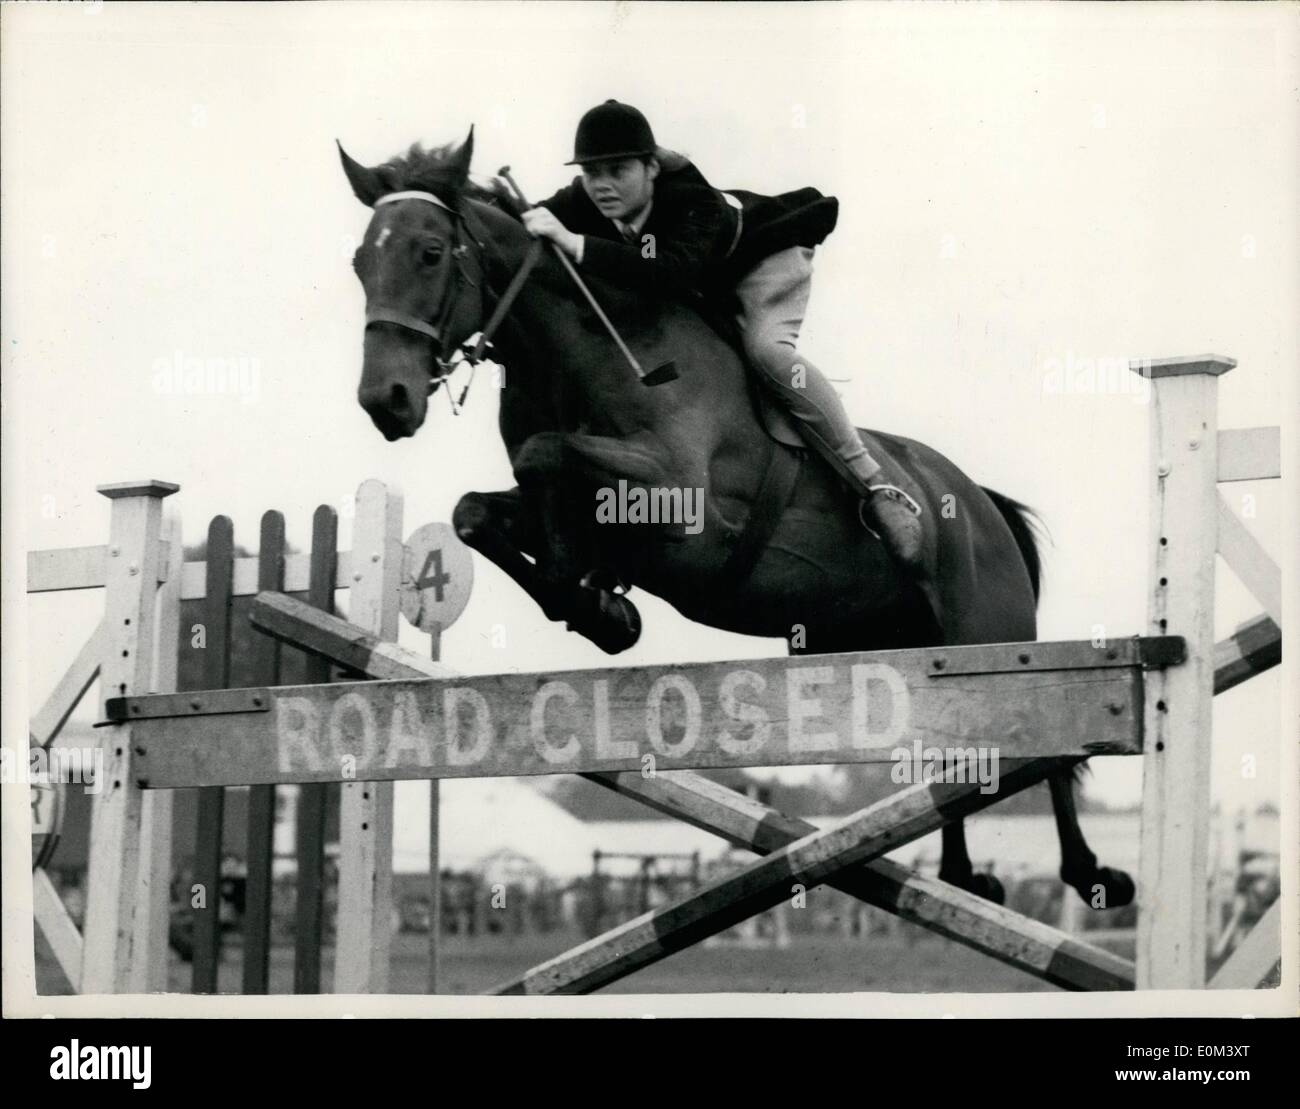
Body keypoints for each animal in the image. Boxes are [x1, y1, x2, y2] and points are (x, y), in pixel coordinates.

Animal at [340, 130, 1133, 910]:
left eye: (431, 253)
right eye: (359, 263)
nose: (386, 401)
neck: (595, 355)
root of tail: (981, 502)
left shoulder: (681, 508)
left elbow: (544, 456)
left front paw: (589, 596)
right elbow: (477, 512)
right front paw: (600, 609)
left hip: (988, 635)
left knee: (1044, 753)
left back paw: (1087, 872)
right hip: (884, 646)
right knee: (950, 756)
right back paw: (964, 875)